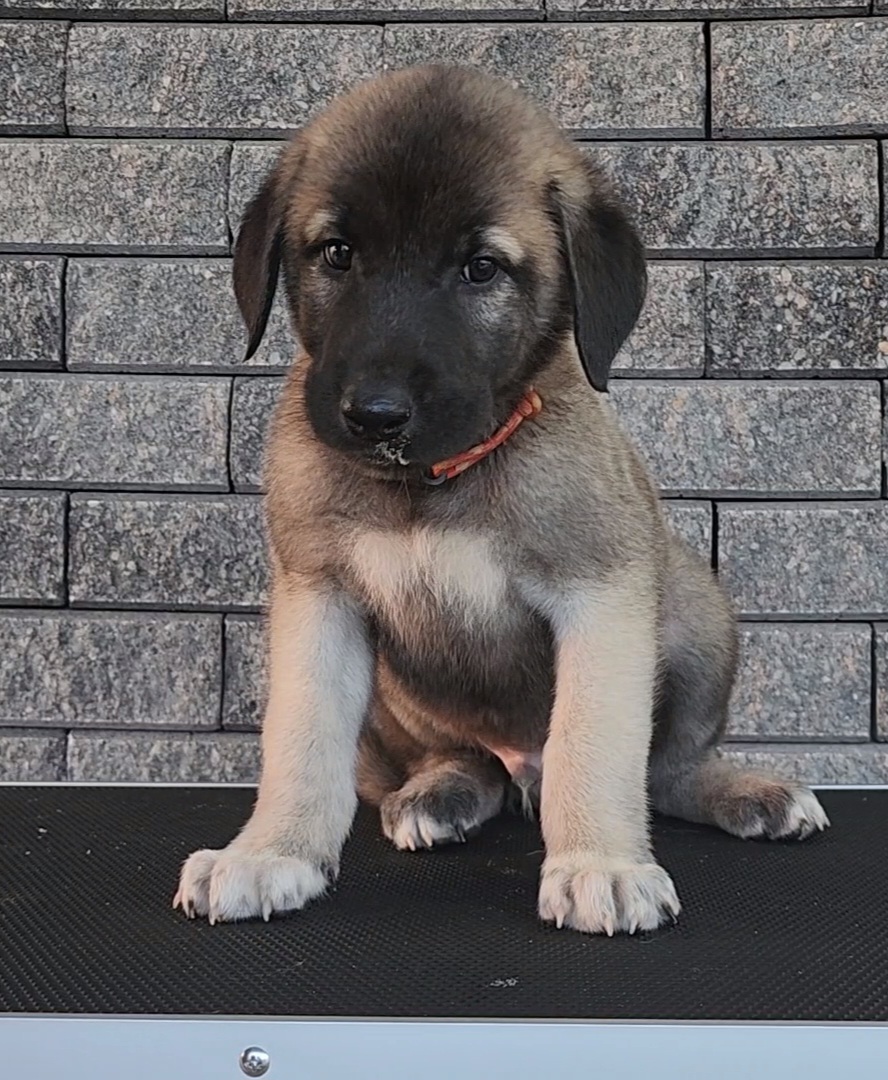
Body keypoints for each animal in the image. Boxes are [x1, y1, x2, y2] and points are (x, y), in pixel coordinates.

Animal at [174, 64, 829, 935]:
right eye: (337, 254)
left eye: (480, 269)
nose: (375, 415)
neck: (431, 483)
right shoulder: (318, 600)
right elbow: (299, 740)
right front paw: (271, 852)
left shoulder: (602, 596)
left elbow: (596, 743)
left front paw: (599, 862)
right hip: (395, 700)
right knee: (455, 754)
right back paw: (443, 791)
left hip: (695, 612)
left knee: (665, 769)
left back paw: (745, 792)